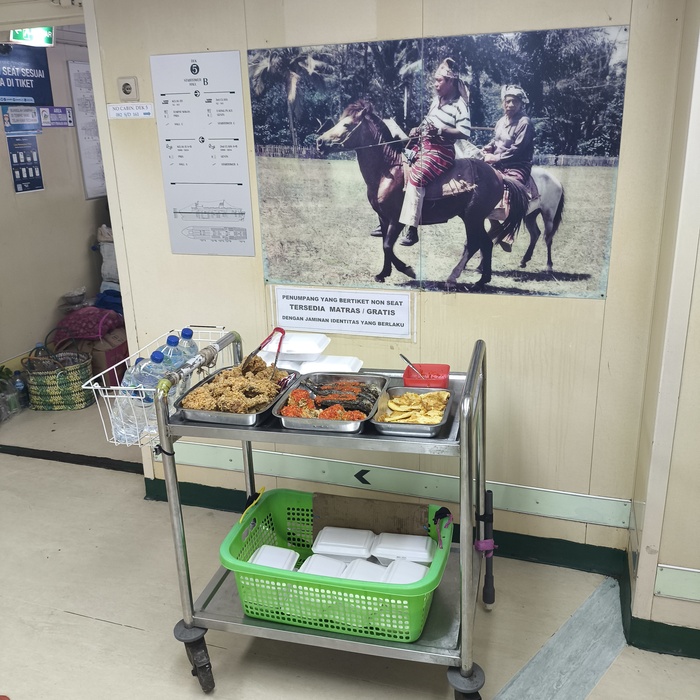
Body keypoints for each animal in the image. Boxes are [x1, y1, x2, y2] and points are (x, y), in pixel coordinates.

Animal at [316, 100, 529, 290]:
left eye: (347, 124)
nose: (319, 142)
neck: (388, 170)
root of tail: (499, 176)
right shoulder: (383, 218)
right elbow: (385, 245)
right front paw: (383, 273)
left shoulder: (396, 219)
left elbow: (387, 245)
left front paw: (407, 270)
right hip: (471, 217)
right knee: (483, 244)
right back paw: (478, 280)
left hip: (473, 218)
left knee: (475, 244)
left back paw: (459, 279)